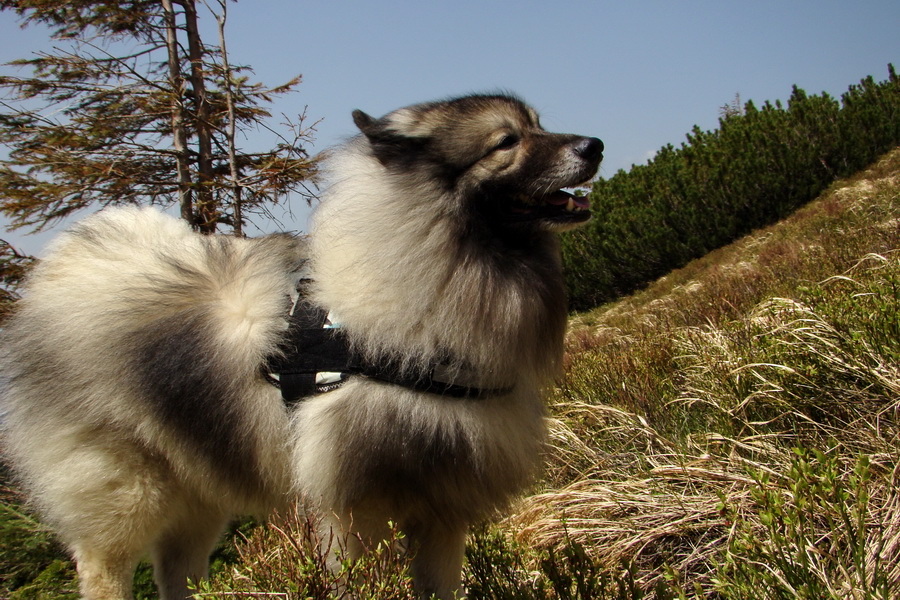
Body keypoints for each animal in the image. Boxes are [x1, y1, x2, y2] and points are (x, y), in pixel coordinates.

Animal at [1, 91, 604, 596]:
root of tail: (58, 275)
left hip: (199, 490)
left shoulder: (441, 509)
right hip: (126, 491)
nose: (594, 145)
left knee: (177, 571)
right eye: (507, 141)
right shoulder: (351, 510)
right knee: (105, 565)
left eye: (538, 125)